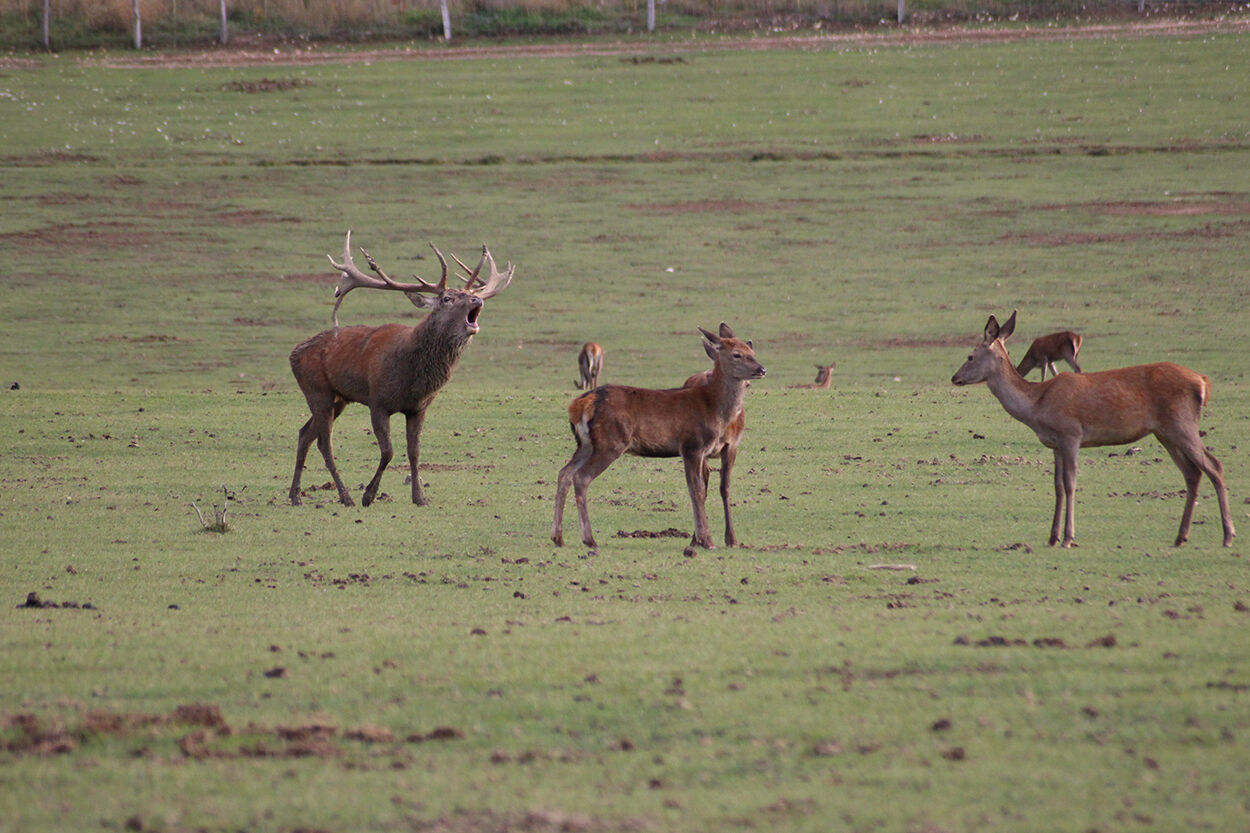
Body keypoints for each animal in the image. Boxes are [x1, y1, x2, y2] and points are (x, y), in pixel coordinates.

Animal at [287, 231, 512, 505]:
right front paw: (368, 495)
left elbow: (414, 451)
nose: (477, 298)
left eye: (468, 293)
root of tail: (293, 354)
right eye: (447, 298)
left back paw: (295, 495)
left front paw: (420, 497)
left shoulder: (418, 408)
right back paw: (345, 496)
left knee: (304, 434)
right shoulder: (377, 401)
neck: (412, 378)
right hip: (317, 390)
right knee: (324, 443)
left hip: (338, 399)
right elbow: (388, 451)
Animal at [555, 322, 765, 550]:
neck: (713, 407)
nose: (762, 369)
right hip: (610, 442)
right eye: (737, 354)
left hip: (586, 444)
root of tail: (579, 404)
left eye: (752, 351)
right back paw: (589, 539)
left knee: (564, 473)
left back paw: (558, 537)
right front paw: (707, 541)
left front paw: (703, 539)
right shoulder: (692, 445)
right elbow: (697, 490)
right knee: (581, 477)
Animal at [955, 307, 1230, 547]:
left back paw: (1227, 536)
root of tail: (1202, 382)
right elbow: (1057, 486)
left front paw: (1068, 538)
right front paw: (1052, 537)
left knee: (1214, 465)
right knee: (1192, 473)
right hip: (1165, 432)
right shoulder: (1055, 444)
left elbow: (1070, 483)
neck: (1037, 404)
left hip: (1181, 423)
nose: (954, 377)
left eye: (970, 356)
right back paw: (1181, 537)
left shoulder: (1071, 433)